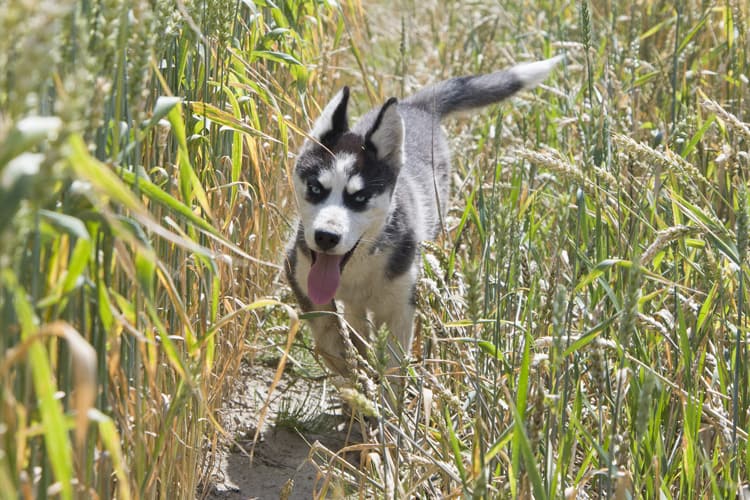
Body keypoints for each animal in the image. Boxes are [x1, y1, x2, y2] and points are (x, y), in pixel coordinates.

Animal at [288, 55, 564, 376]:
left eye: (359, 198)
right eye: (315, 188)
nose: (326, 237)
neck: (358, 265)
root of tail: (415, 106)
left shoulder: (400, 305)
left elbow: (393, 370)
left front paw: (370, 382)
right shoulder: (300, 273)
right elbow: (329, 335)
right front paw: (350, 371)